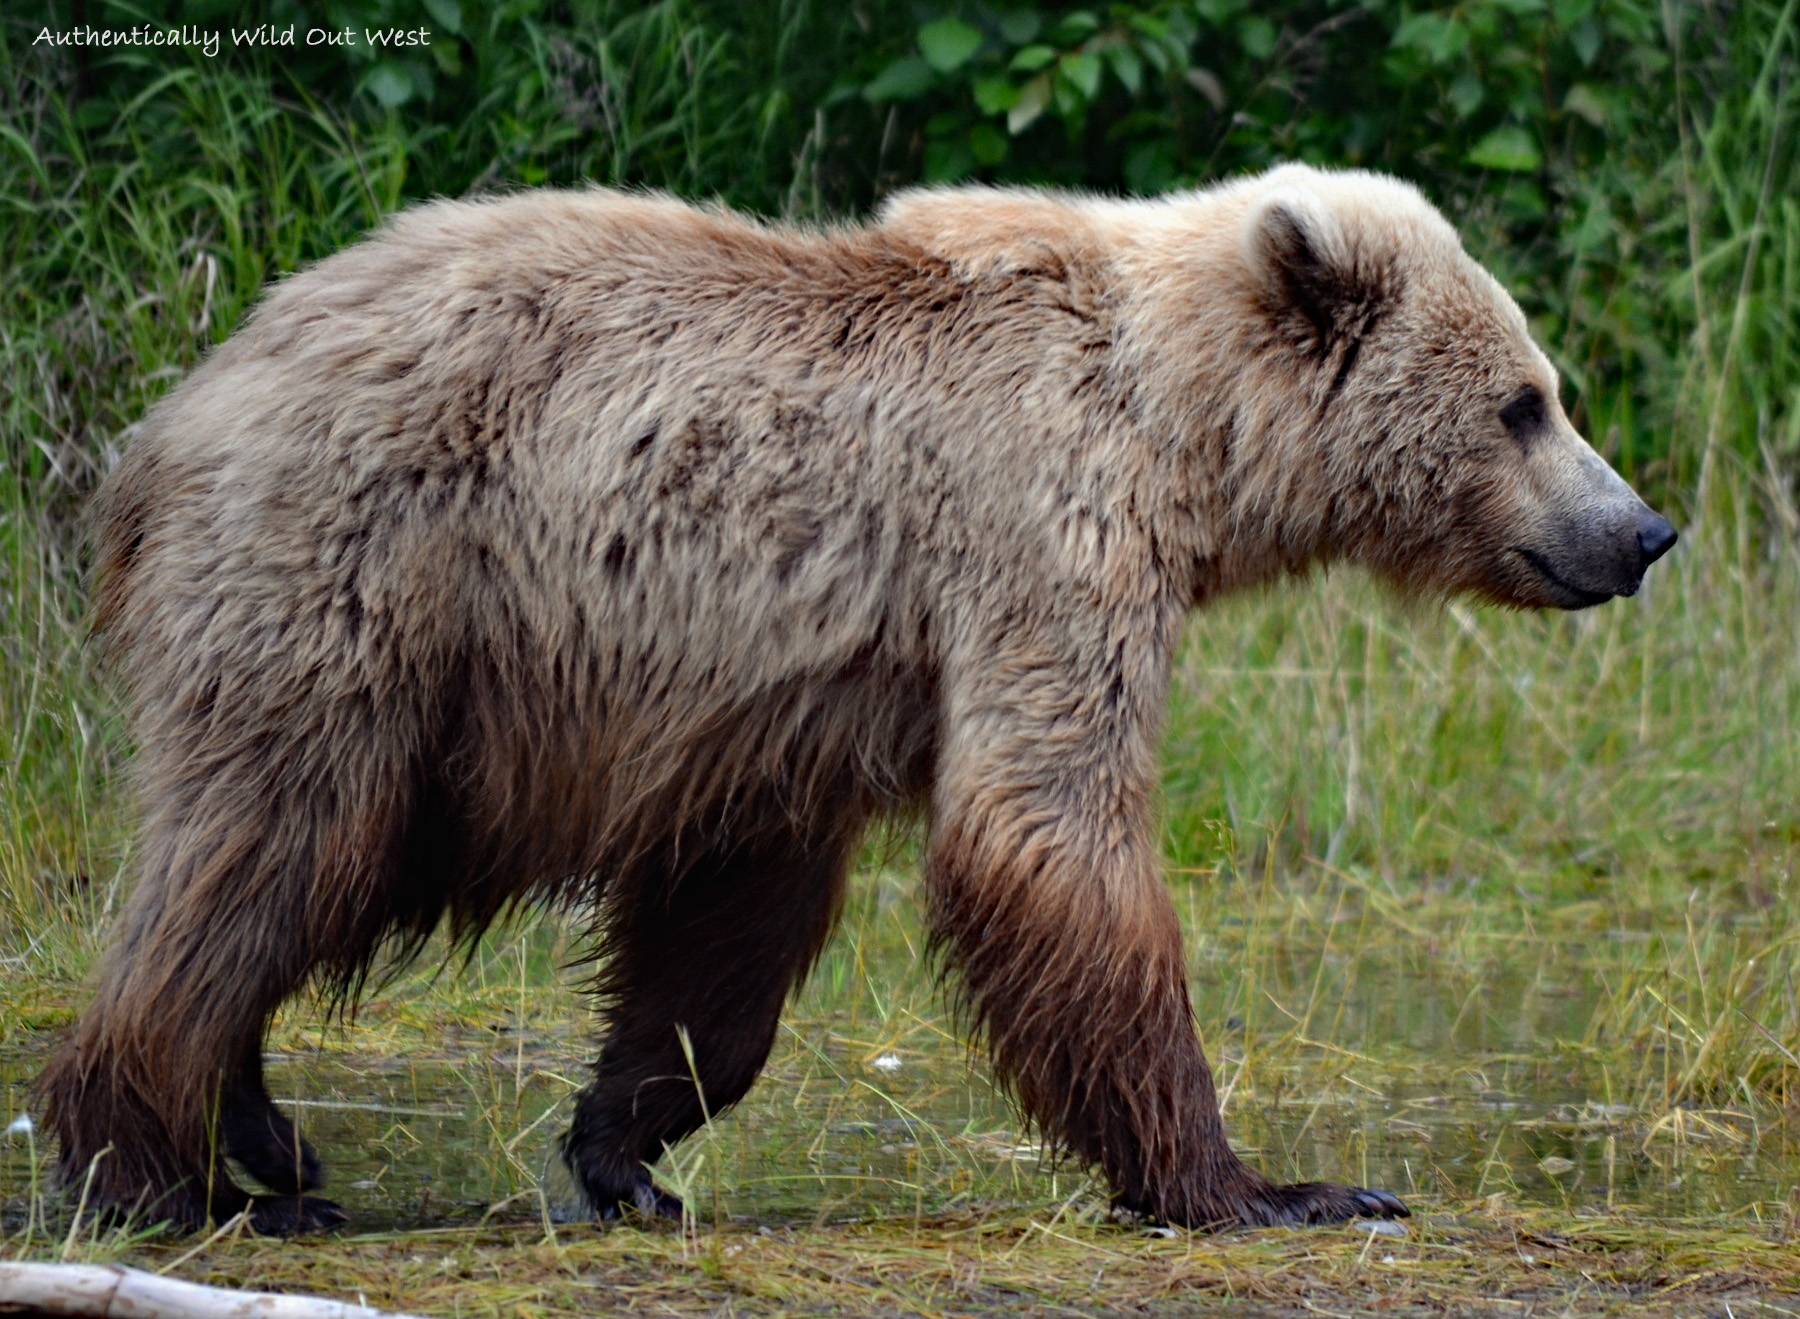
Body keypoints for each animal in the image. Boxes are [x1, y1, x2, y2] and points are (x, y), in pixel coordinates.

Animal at [38, 164, 1676, 1235]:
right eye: (1525, 402)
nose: (1643, 529)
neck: (1183, 430)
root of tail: (175, 418)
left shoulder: (791, 694)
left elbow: (730, 925)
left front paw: (628, 1151)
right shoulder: (1038, 532)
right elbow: (1047, 831)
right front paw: (1273, 1182)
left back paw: (258, 1132)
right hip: (364, 582)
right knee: (267, 845)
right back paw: (163, 1168)